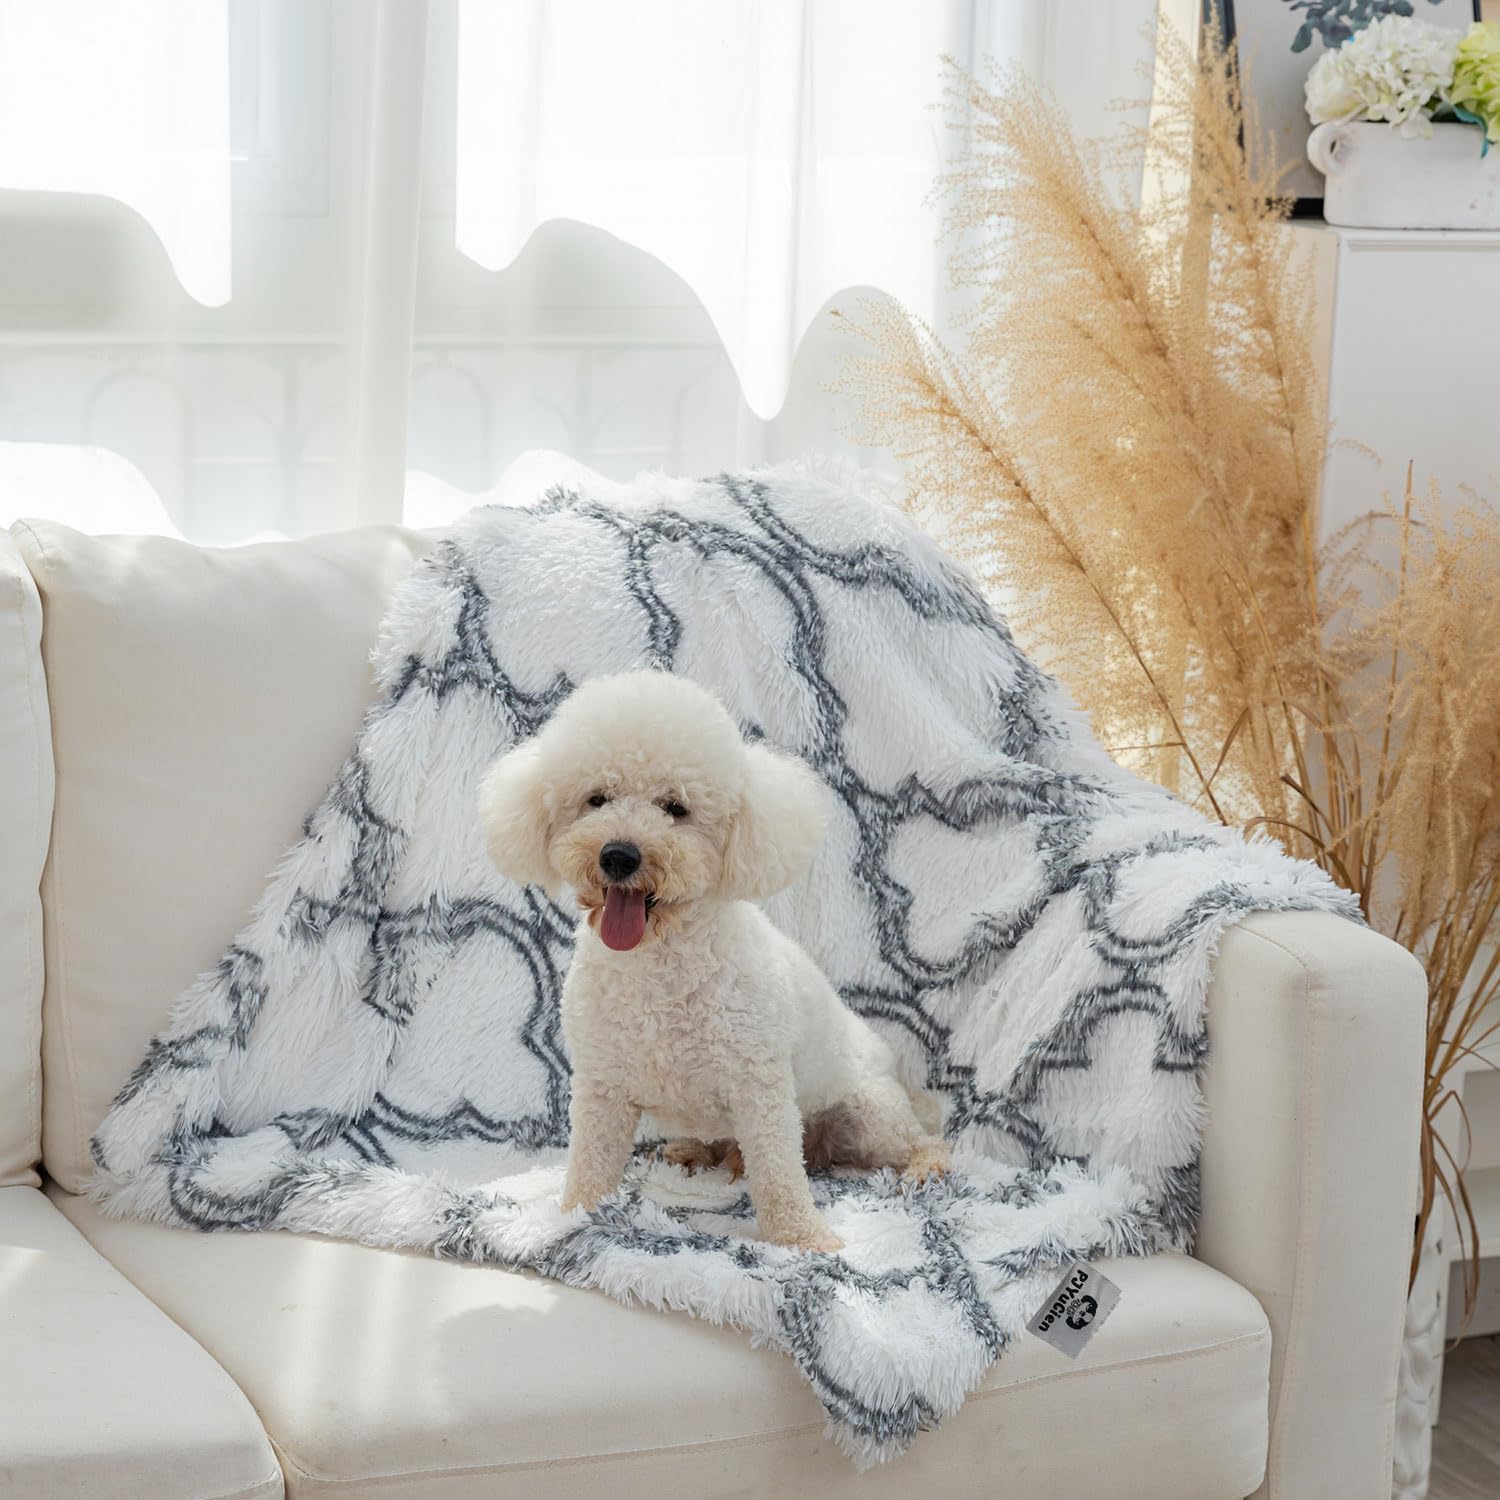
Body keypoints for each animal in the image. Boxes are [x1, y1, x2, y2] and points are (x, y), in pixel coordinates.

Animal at [478, 670, 949, 1252]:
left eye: (675, 808)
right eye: (597, 799)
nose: (619, 855)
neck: (656, 966)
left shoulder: (760, 1089)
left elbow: (780, 1176)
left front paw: (805, 1239)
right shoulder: (601, 1086)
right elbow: (590, 1162)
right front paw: (573, 1217)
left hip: (868, 1113)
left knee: (918, 1141)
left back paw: (924, 1166)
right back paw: (698, 1152)